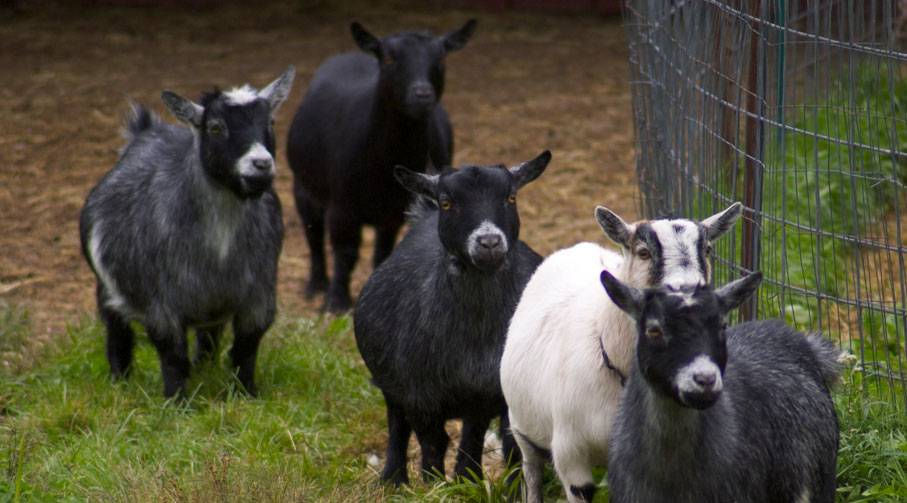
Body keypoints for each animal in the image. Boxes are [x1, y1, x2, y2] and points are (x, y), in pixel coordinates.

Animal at [79, 66, 296, 398]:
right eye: (216, 127)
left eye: (270, 122)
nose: (261, 164)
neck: (220, 248)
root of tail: (147, 131)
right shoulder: (162, 305)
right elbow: (172, 355)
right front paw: (177, 400)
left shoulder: (259, 297)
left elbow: (246, 349)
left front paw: (246, 394)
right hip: (107, 288)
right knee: (117, 332)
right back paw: (120, 382)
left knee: (209, 336)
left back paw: (204, 368)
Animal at [290, 19, 476, 312]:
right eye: (389, 58)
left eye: (441, 59)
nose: (422, 94)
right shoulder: (341, 206)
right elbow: (345, 251)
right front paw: (336, 301)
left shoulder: (395, 210)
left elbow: (383, 253)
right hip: (302, 186)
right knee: (313, 234)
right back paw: (316, 285)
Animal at [354, 150, 552, 484]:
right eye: (448, 202)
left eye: (511, 197)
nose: (489, 243)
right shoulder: (419, 396)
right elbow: (433, 444)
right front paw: (435, 486)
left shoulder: (504, 393)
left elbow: (504, 445)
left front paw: (503, 487)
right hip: (390, 380)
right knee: (397, 423)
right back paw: (393, 481)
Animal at [500, 203, 740, 502]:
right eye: (643, 253)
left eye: (707, 250)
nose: (690, 301)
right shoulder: (571, 455)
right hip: (522, 427)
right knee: (531, 470)